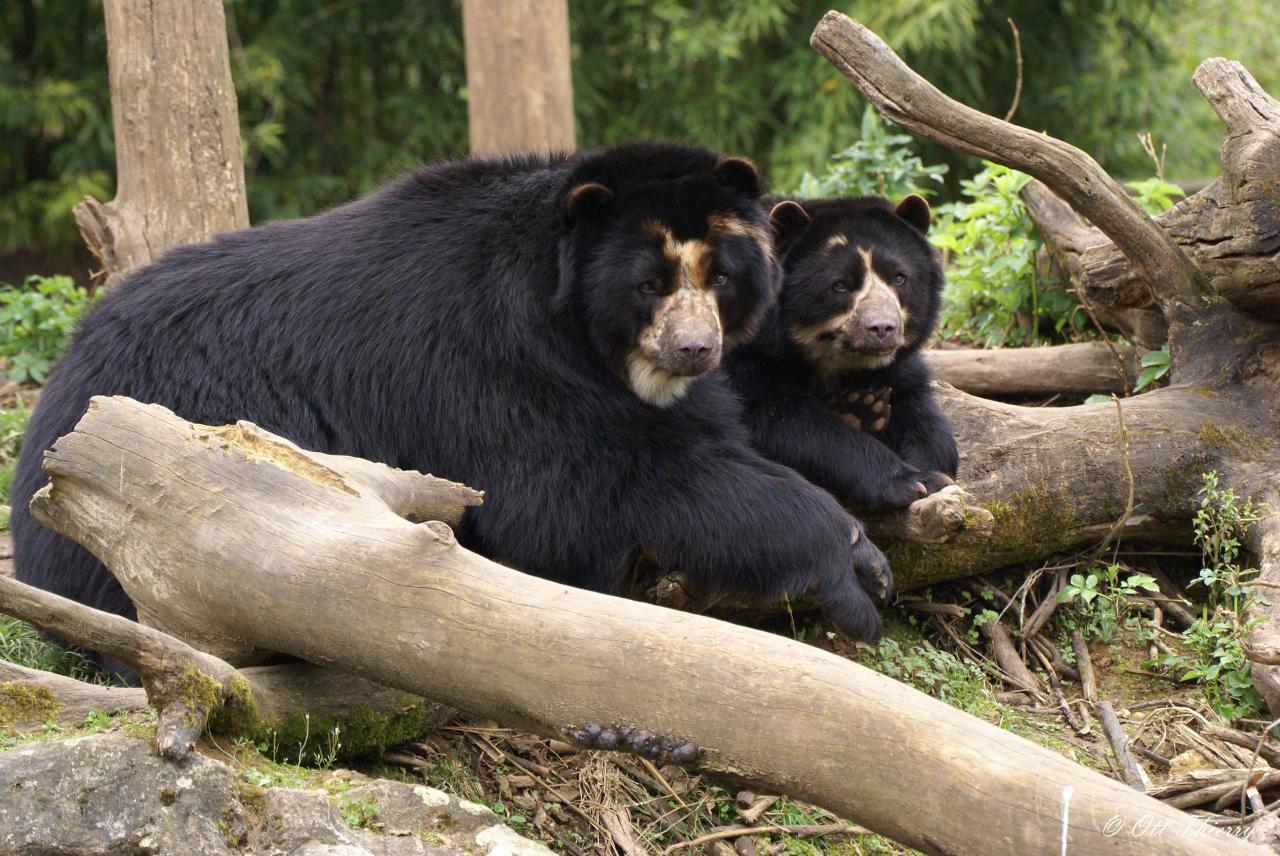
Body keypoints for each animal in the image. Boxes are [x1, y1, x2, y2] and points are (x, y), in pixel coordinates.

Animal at [10, 143, 890, 644]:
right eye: (648, 282)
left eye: (722, 275)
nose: (695, 348)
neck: (581, 337)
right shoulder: (495, 369)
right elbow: (584, 492)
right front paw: (850, 571)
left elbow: (704, 445)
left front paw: (866, 549)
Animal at [727, 197, 957, 511]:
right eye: (840, 285)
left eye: (899, 278)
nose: (882, 328)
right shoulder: (746, 359)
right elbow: (784, 421)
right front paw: (907, 482)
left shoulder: (895, 367)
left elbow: (921, 410)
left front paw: (935, 473)